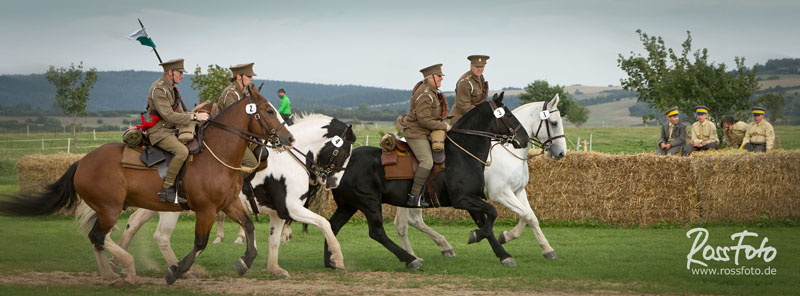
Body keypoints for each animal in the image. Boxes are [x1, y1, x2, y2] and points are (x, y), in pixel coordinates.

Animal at [0, 85, 294, 284]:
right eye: (269, 110)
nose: (289, 138)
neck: (216, 154)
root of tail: (82, 162)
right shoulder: (206, 209)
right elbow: (200, 243)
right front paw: (176, 271)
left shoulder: (228, 203)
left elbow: (249, 227)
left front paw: (245, 262)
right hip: (110, 208)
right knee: (98, 236)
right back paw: (125, 270)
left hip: (112, 208)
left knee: (100, 237)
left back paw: (112, 273)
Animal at [116, 113, 356, 278]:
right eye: (345, 151)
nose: (334, 183)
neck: (290, 159)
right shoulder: (292, 208)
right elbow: (324, 223)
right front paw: (337, 258)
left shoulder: (278, 213)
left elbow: (274, 241)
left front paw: (275, 269)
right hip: (172, 209)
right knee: (161, 236)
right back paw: (179, 270)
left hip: (155, 203)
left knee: (132, 223)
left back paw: (119, 263)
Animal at [324, 93, 532, 270]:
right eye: (509, 115)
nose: (525, 139)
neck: (462, 154)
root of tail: (339, 164)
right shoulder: (463, 199)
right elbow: (493, 213)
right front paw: (477, 236)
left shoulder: (472, 200)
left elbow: (486, 224)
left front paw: (503, 255)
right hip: (369, 202)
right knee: (377, 232)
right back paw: (410, 259)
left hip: (349, 205)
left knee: (332, 225)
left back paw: (332, 261)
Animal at [390, 95, 564, 260]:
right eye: (554, 123)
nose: (562, 153)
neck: (509, 153)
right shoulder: (501, 194)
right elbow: (525, 215)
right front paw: (502, 237)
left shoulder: (518, 191)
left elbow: (530, 217)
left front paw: (545, 248)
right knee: (405, 224)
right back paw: (420, 253)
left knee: (411, 221)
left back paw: (439, 247)